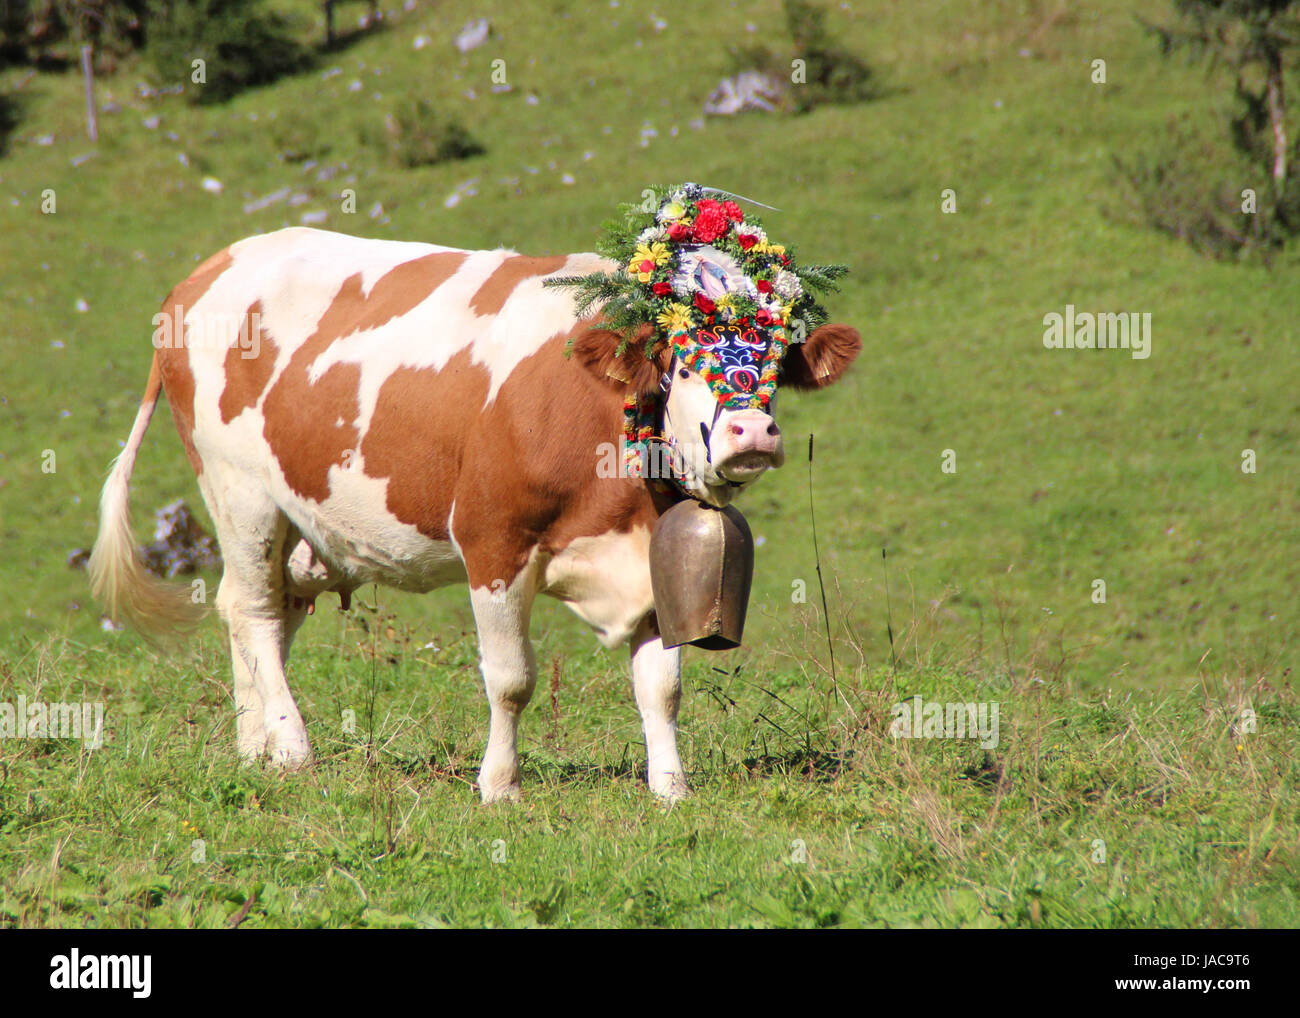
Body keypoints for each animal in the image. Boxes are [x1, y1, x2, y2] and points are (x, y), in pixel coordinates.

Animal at [91, 231, 863, 806]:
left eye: (777, 358)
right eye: (678, 358)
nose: (751, 432)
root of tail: (205, 271)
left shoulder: (651, 557)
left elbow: (662, 686)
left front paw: (670, 788)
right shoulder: (493, 543)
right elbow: (511, 679)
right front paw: (498, 787)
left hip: (303, 526)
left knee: (256, 612)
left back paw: (258, 748)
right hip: (240, 491)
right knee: (252, 610)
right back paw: (295, 745)